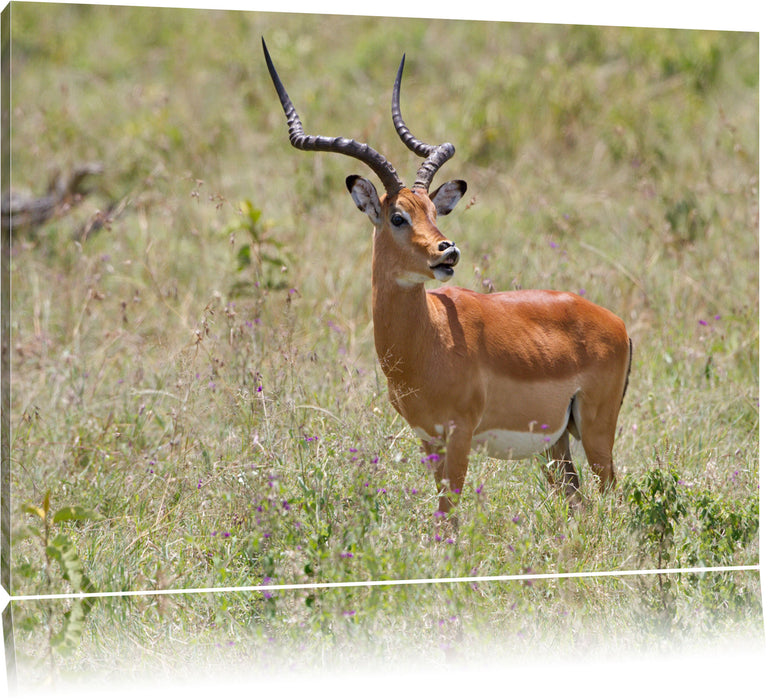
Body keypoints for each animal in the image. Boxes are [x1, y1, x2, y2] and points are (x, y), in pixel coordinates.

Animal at [260, 41, 632, 516]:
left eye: (434, 211)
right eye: (398, 216)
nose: (448, 251)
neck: (428, 339)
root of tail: (616, 324)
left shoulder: (459, 435)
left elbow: (449, 514)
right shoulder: (428, 439)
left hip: (596, 431)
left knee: (610, 495)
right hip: (557, 441)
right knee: (577, 498)